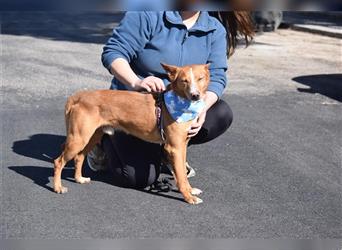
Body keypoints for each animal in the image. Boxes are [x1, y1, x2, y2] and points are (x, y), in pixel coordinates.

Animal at [53, 63, 210, 204]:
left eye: (200, 78)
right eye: (184, 81)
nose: (195, 95)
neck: (181, 103)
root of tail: (79, 96)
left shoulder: (181, 147)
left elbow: (182, 172)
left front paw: (190, 190)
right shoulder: (174, 148)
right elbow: (181, 177)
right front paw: (188, 197)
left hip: (92, 136)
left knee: (79, 157)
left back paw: (79, 179)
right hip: (79, 138)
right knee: (58, 161)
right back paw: (58, 187)